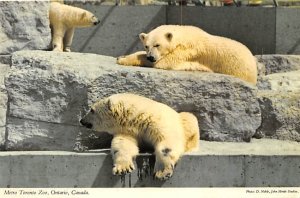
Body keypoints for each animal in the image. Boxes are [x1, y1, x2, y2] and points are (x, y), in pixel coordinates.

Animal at [117, 24, 258, 84]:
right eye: (146, 46)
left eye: (157, 45)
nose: (151, 57)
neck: (183, 35)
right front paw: (122, 56)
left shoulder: (188, 50)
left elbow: (165, 62)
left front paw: (122, 60)